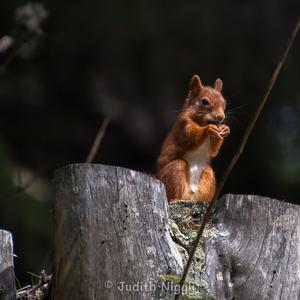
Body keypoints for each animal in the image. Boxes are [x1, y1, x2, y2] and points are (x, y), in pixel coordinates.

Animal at [157, 74, 230, 203]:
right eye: (204, 101)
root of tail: (189, 195)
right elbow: (190, 138)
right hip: (174, 171)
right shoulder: (183, 125)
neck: (201, 122)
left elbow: (213, 150)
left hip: (208, 177)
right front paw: (208, 129)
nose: (220, 117)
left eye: (224, 102)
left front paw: (225, 129)